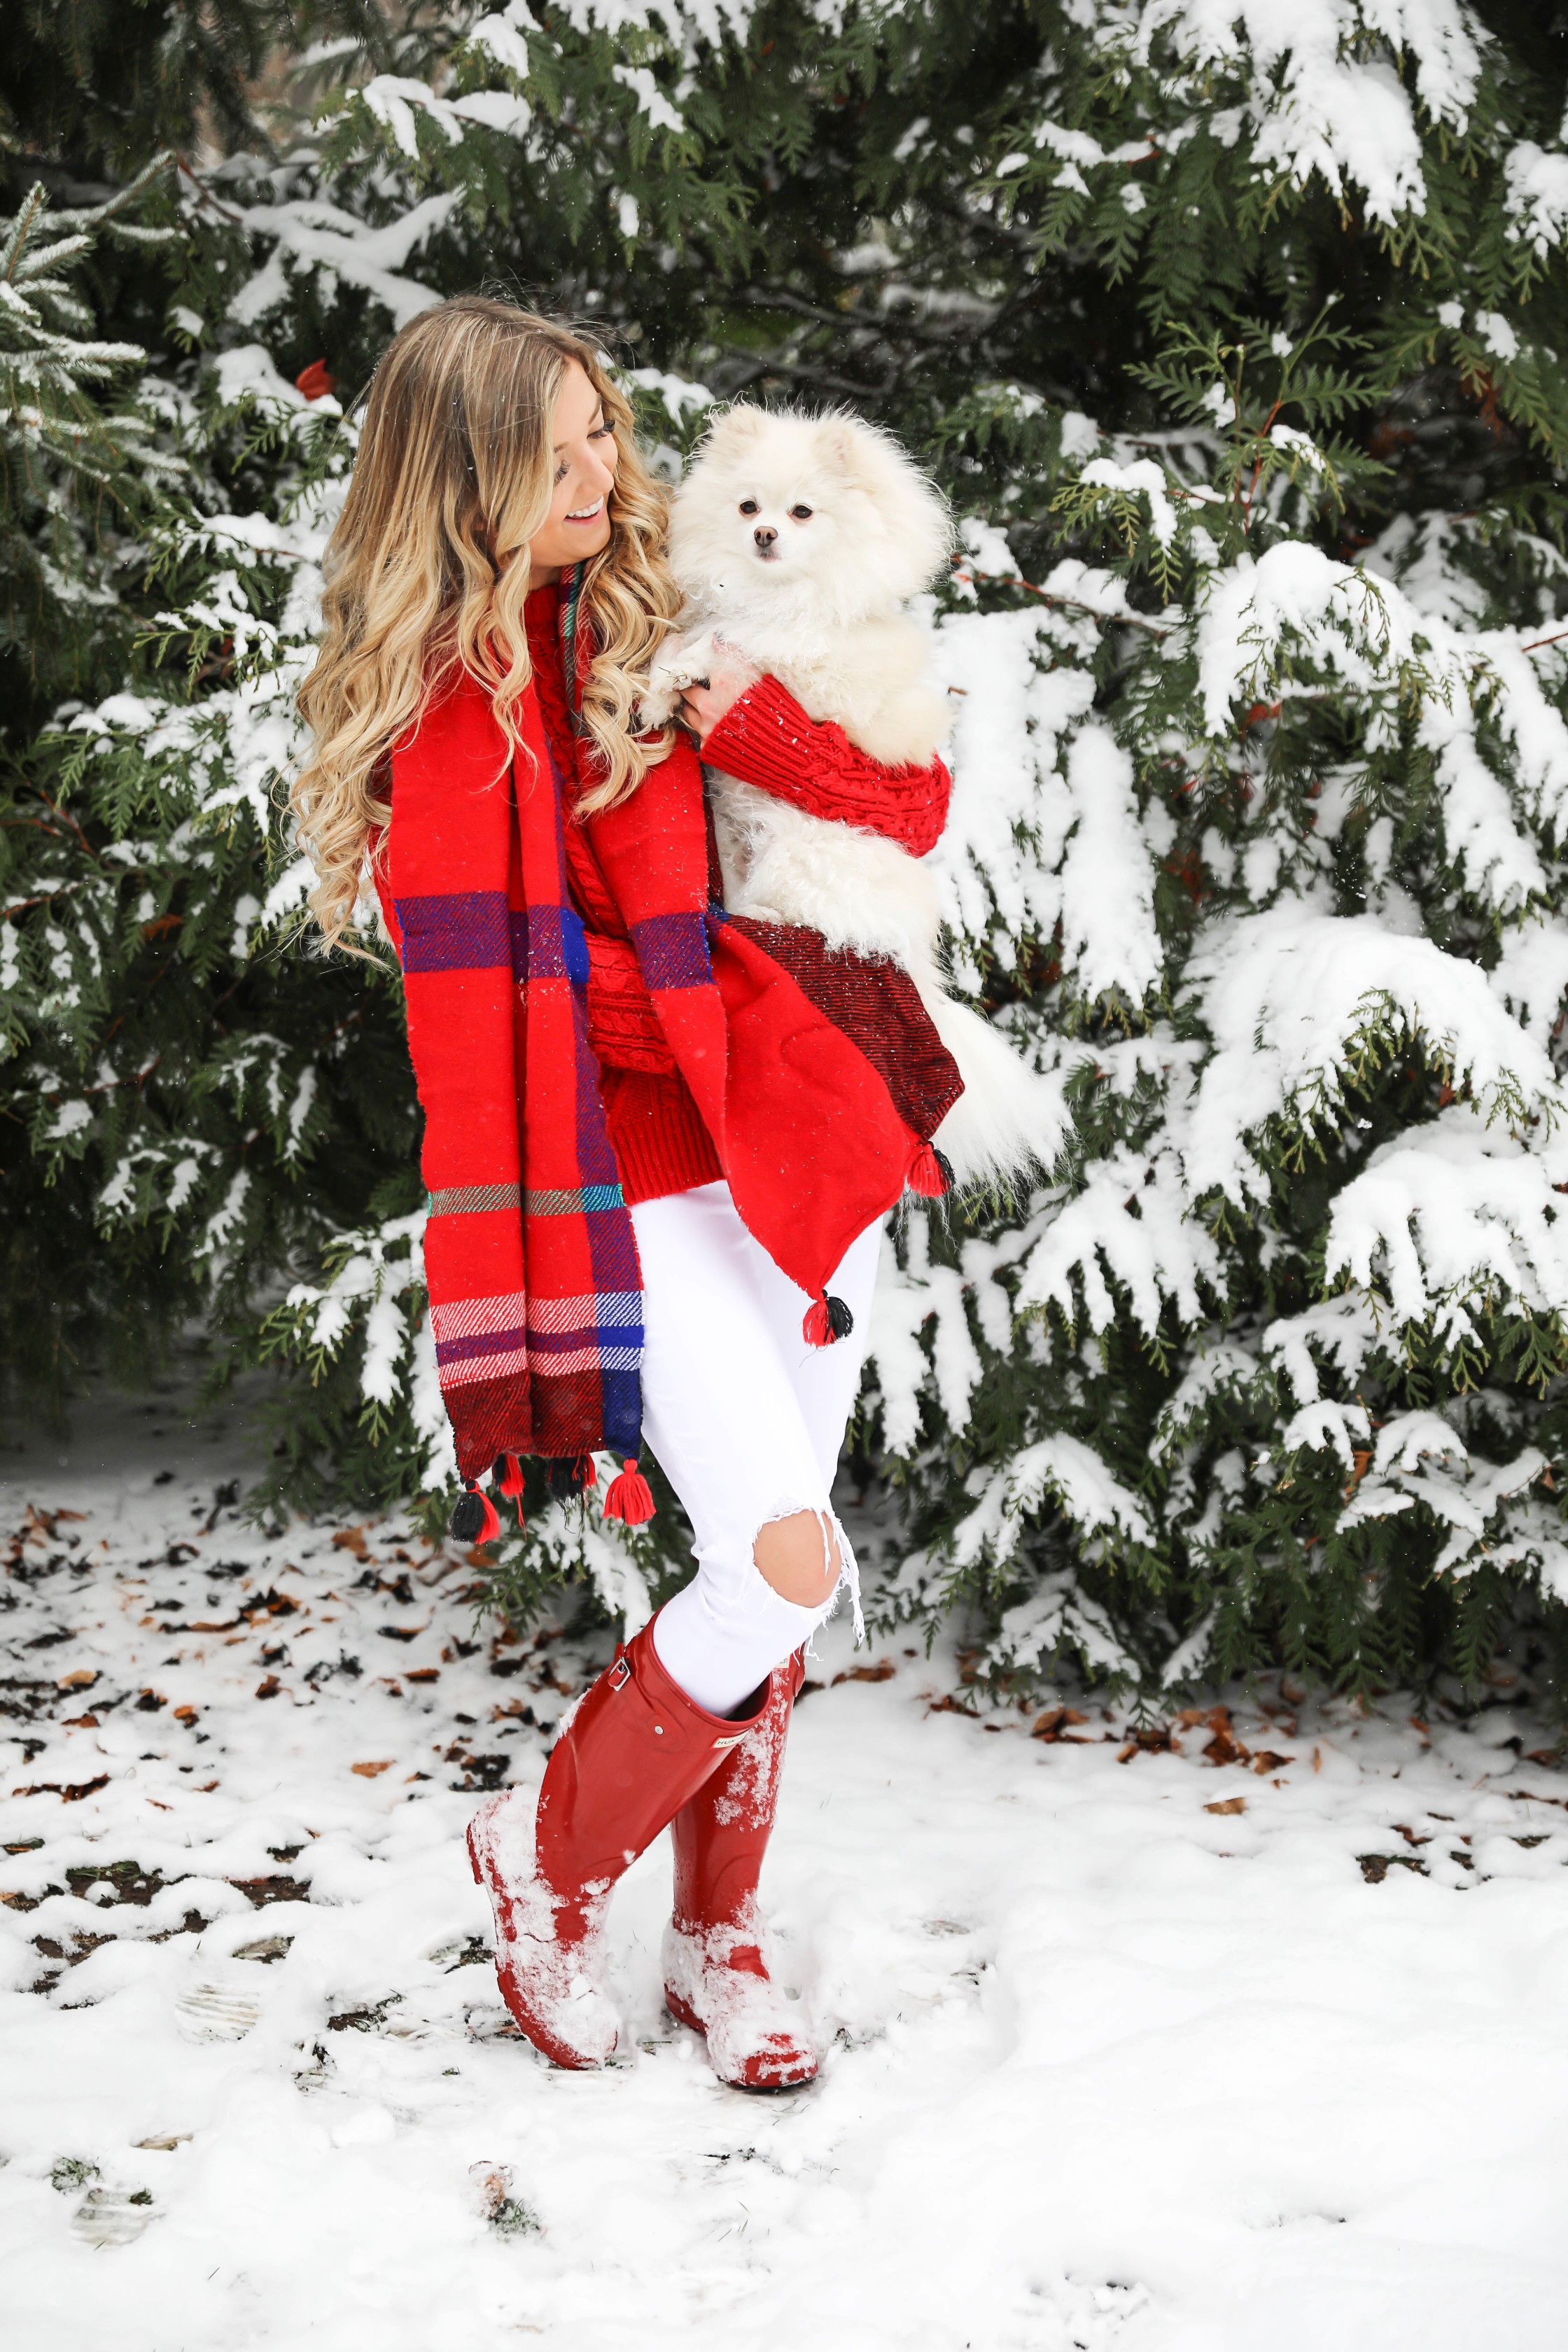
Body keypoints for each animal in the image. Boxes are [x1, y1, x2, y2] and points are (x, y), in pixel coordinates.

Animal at [644, 402, 1062, 1194]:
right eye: (747, 508)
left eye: (802, 512)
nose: (764, 535)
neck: (778, 597)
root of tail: (914, 961)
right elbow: (694, 635)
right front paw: (654, 681)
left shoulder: (795, 663)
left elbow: (723, 646)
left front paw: (670, 678)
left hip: (807, 855)